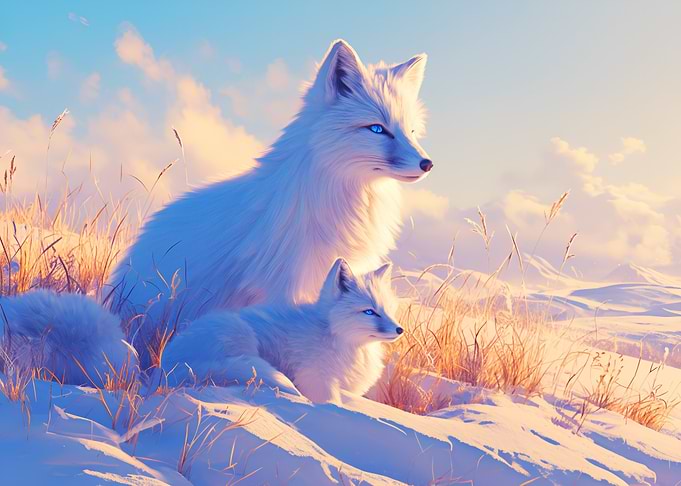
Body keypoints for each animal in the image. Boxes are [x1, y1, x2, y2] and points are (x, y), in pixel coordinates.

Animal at [161, 258, 402, 403]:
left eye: (388, 310)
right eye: (370, 312)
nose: (399, 330)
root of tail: (165, 367)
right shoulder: (317, 379)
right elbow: (329, 403)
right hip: (241, 334)